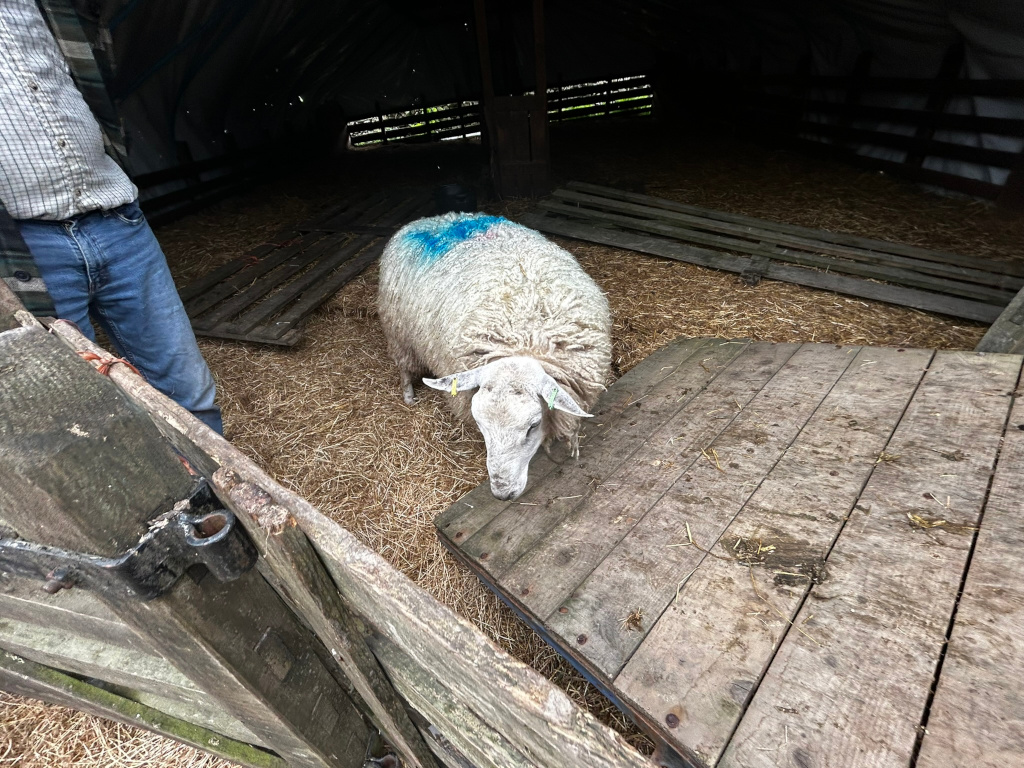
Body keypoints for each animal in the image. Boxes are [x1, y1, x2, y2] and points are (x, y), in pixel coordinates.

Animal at [377, 212, 612, 500]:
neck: (525, 334)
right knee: (404, 366)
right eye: (480, 426)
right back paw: (409, 395)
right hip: (399, 332)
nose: (503, 494)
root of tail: (431, 219)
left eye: (533, 425)